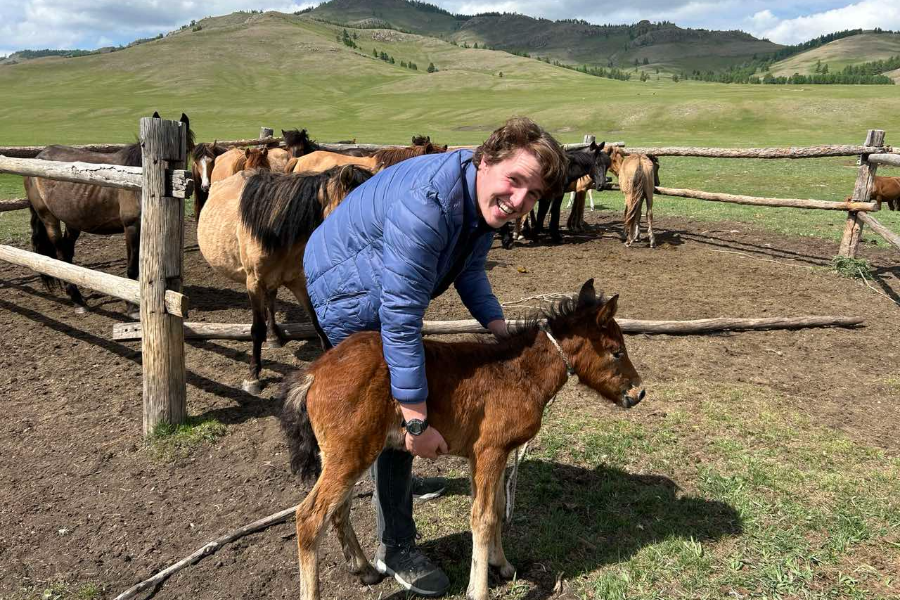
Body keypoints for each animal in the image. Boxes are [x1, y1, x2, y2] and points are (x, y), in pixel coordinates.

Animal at [23, 110, 192, 314]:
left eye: (188, 149)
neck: (140, 182)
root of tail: (38, 156)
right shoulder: (132, 227)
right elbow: (132, 268)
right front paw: (132, 307)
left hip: (73, 220)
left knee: (68, 253)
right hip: (48, 218)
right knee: (61, 254)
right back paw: (77, 299)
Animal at [198, 165, 372, 394]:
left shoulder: (299, 281)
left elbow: (316, 321)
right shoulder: (254, 284)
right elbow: (256, 329)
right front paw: (253, 377)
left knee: (271, 301)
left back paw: (274, 336)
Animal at [282, 280, 640, 600]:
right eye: (616, 352)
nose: (638, 393)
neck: (520, 373)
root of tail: (314, 372)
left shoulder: (489, 454)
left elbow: (496, 508)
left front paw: (502, 565)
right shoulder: (489, 451)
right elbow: (482, 517)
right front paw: (478, 589)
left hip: (343, 454)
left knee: (338, 509)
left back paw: (365, 569)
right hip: (352, 452)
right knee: (309, 517)